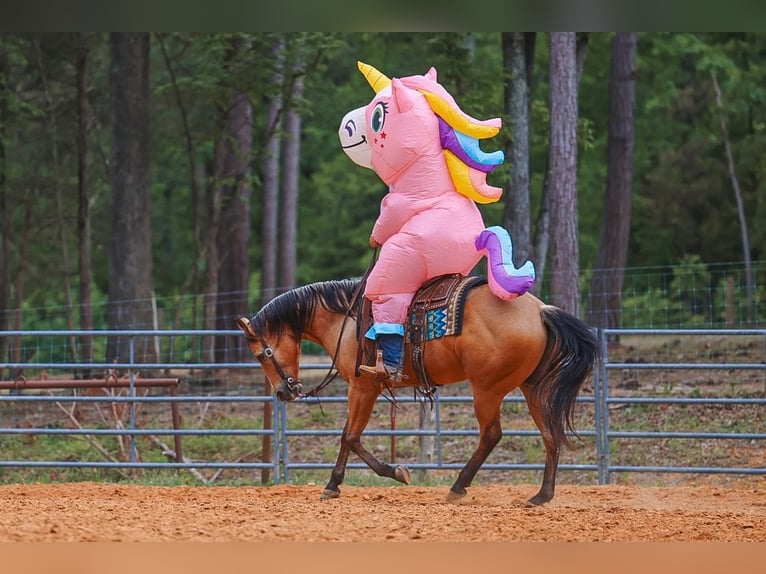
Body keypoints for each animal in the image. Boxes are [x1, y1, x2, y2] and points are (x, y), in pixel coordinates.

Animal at [236, 277, 600, 505]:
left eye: (260, 354)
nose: (283, 393)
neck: (346, 319)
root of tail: (540, 310)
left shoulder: (363, 386)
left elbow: (349, 437)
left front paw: (378, 476)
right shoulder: (364, 388)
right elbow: (349, 436)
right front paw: (339, 484)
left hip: (487, 389)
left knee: (492, 434)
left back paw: (457, 487)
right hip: (532, 388)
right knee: (550, 436)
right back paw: (541, 496)